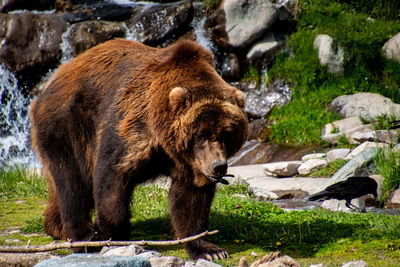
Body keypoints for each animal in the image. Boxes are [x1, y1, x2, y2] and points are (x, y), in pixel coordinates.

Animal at [29, 38, 247, 260]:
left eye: (227, 133)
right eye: (202, 134)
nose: (218, 166)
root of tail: (50, 83)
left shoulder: (188, 162)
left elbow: (191, 199)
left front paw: (209, 250)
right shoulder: (132, 129)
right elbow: (112, 177)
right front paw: (111, 235)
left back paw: (56, 226)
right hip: (66, 126)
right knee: (73, 182)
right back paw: (84, 236)